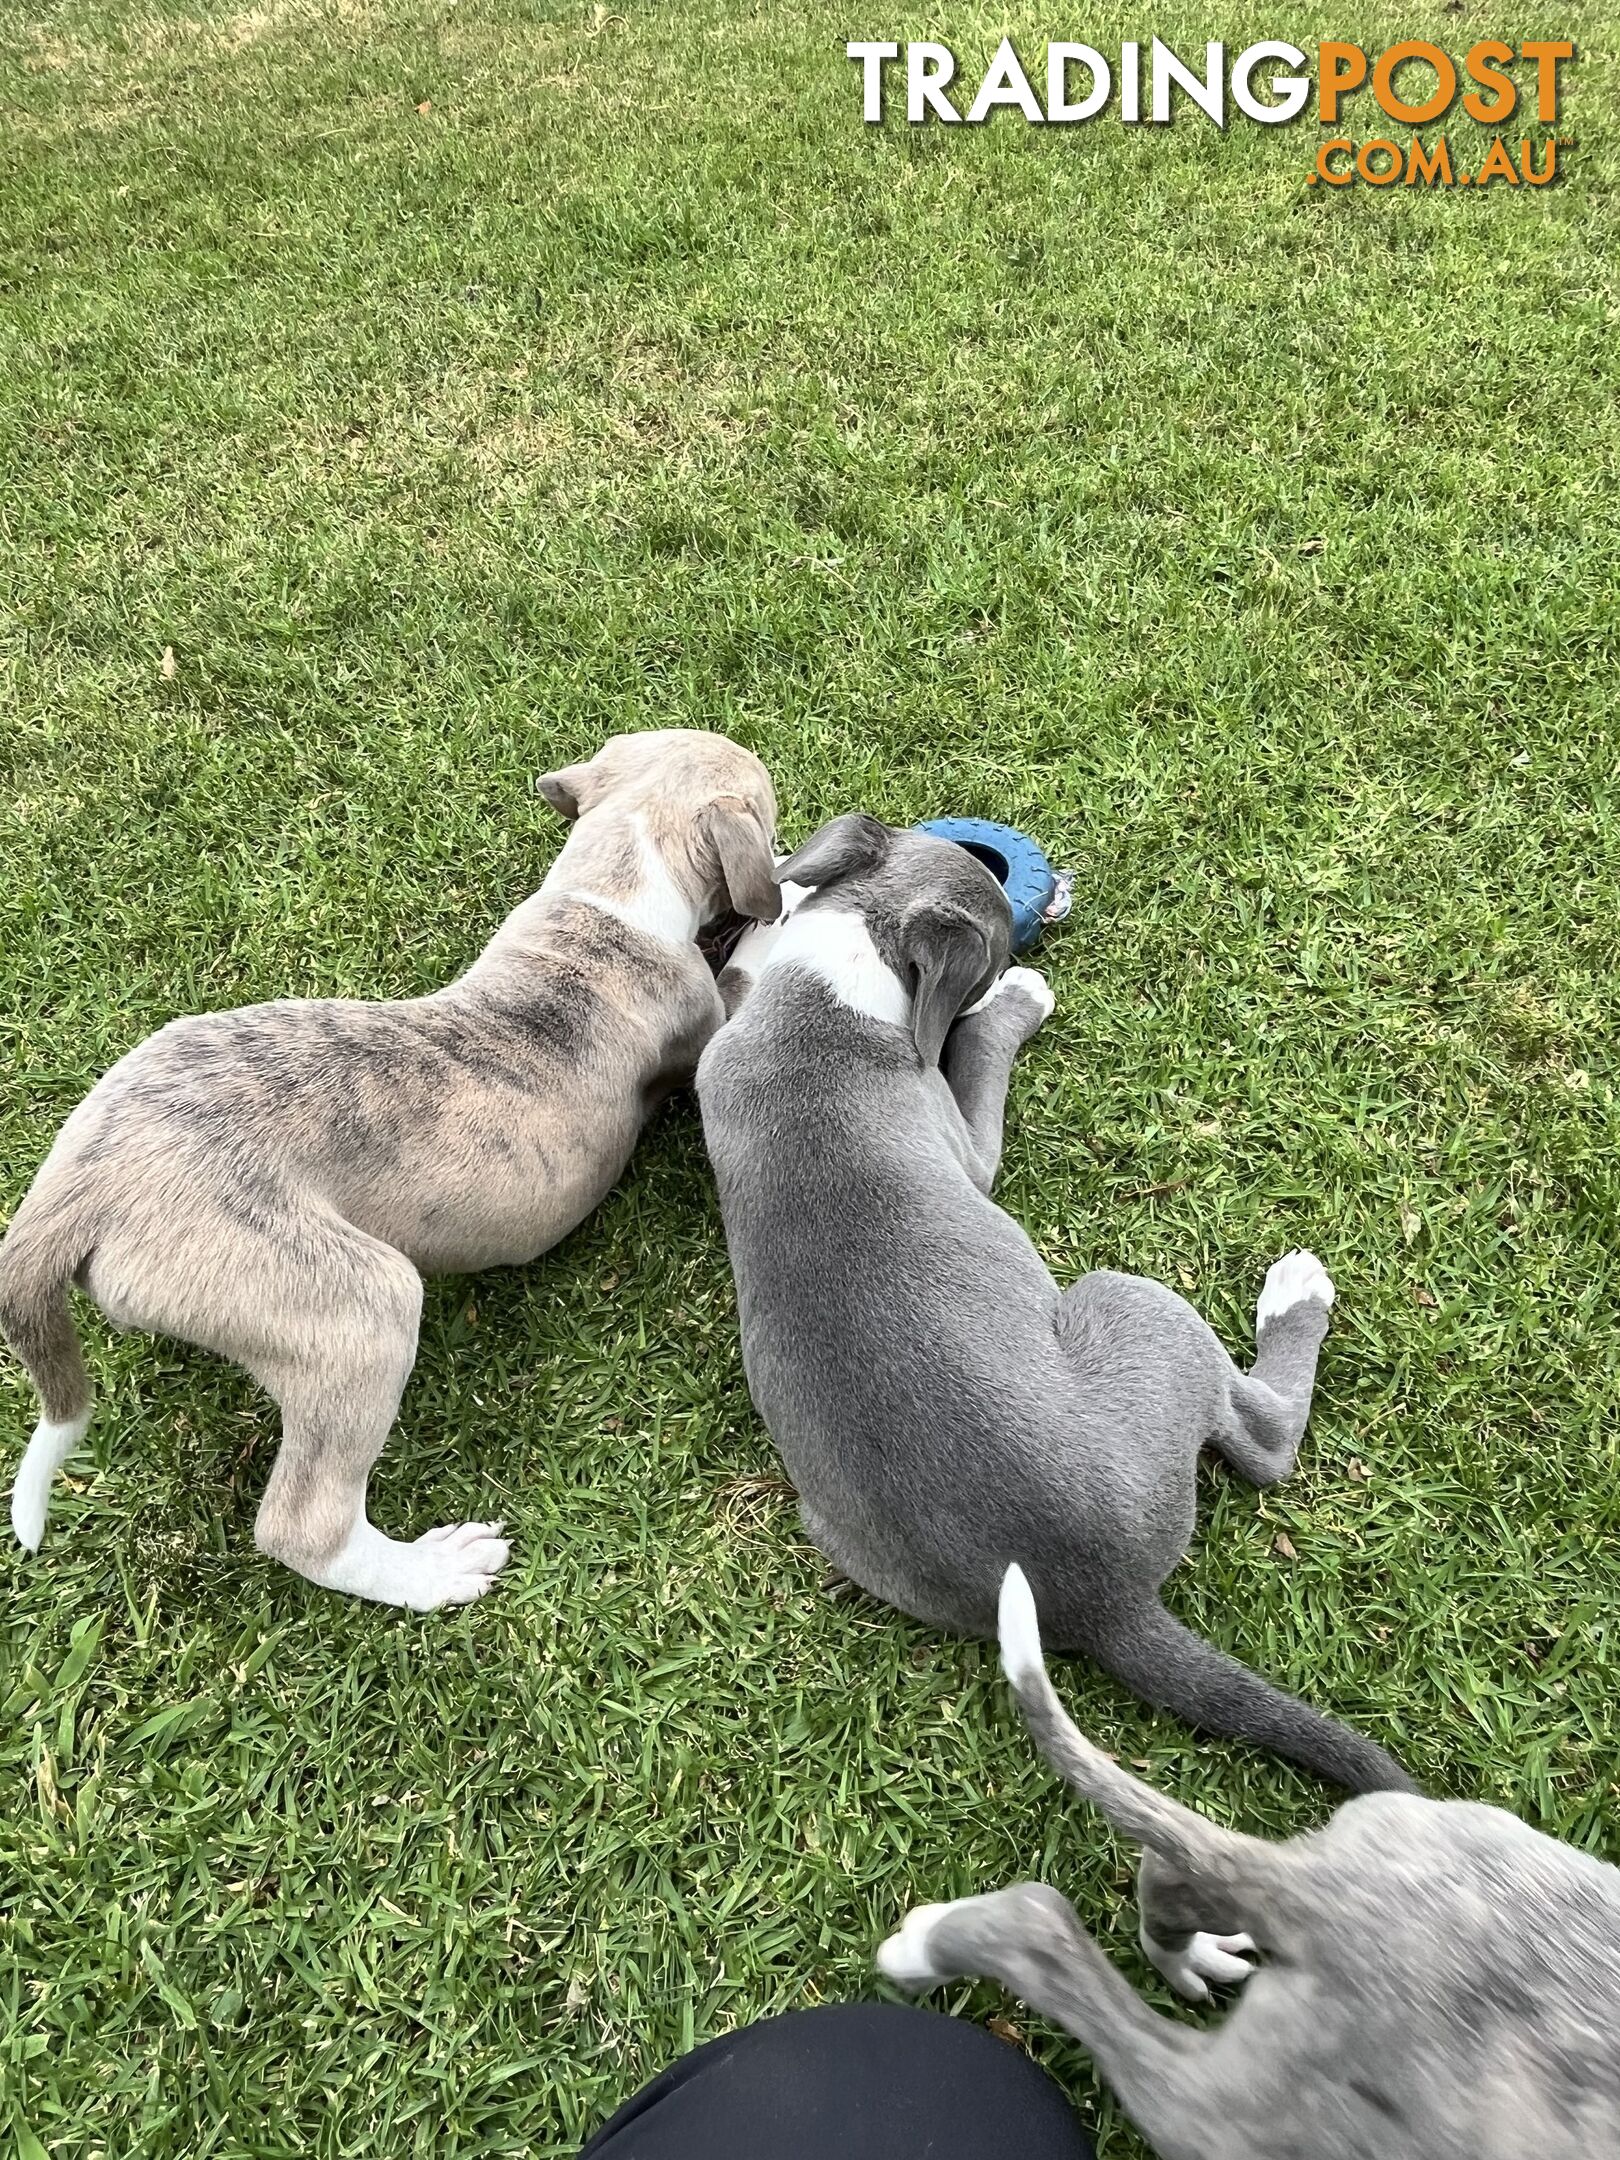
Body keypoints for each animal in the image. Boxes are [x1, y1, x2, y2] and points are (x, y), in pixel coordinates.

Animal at [1, 734, 781, 1615]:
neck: (612, 887)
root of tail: (78, 1190)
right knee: (304, 1523)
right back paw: (432, 1573)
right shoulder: (702, 1024)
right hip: (360, 1305)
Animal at [704, 812, 1416, 1788]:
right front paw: (1018, 1000)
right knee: (1266, 1441)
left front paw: (768, 904)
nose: (1024, 954)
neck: (842, 982)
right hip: (1134, 1303)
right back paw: (1294, 1294)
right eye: (1000, 945)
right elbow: (979, 1066)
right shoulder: (967, 1144)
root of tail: (1100, 1601)